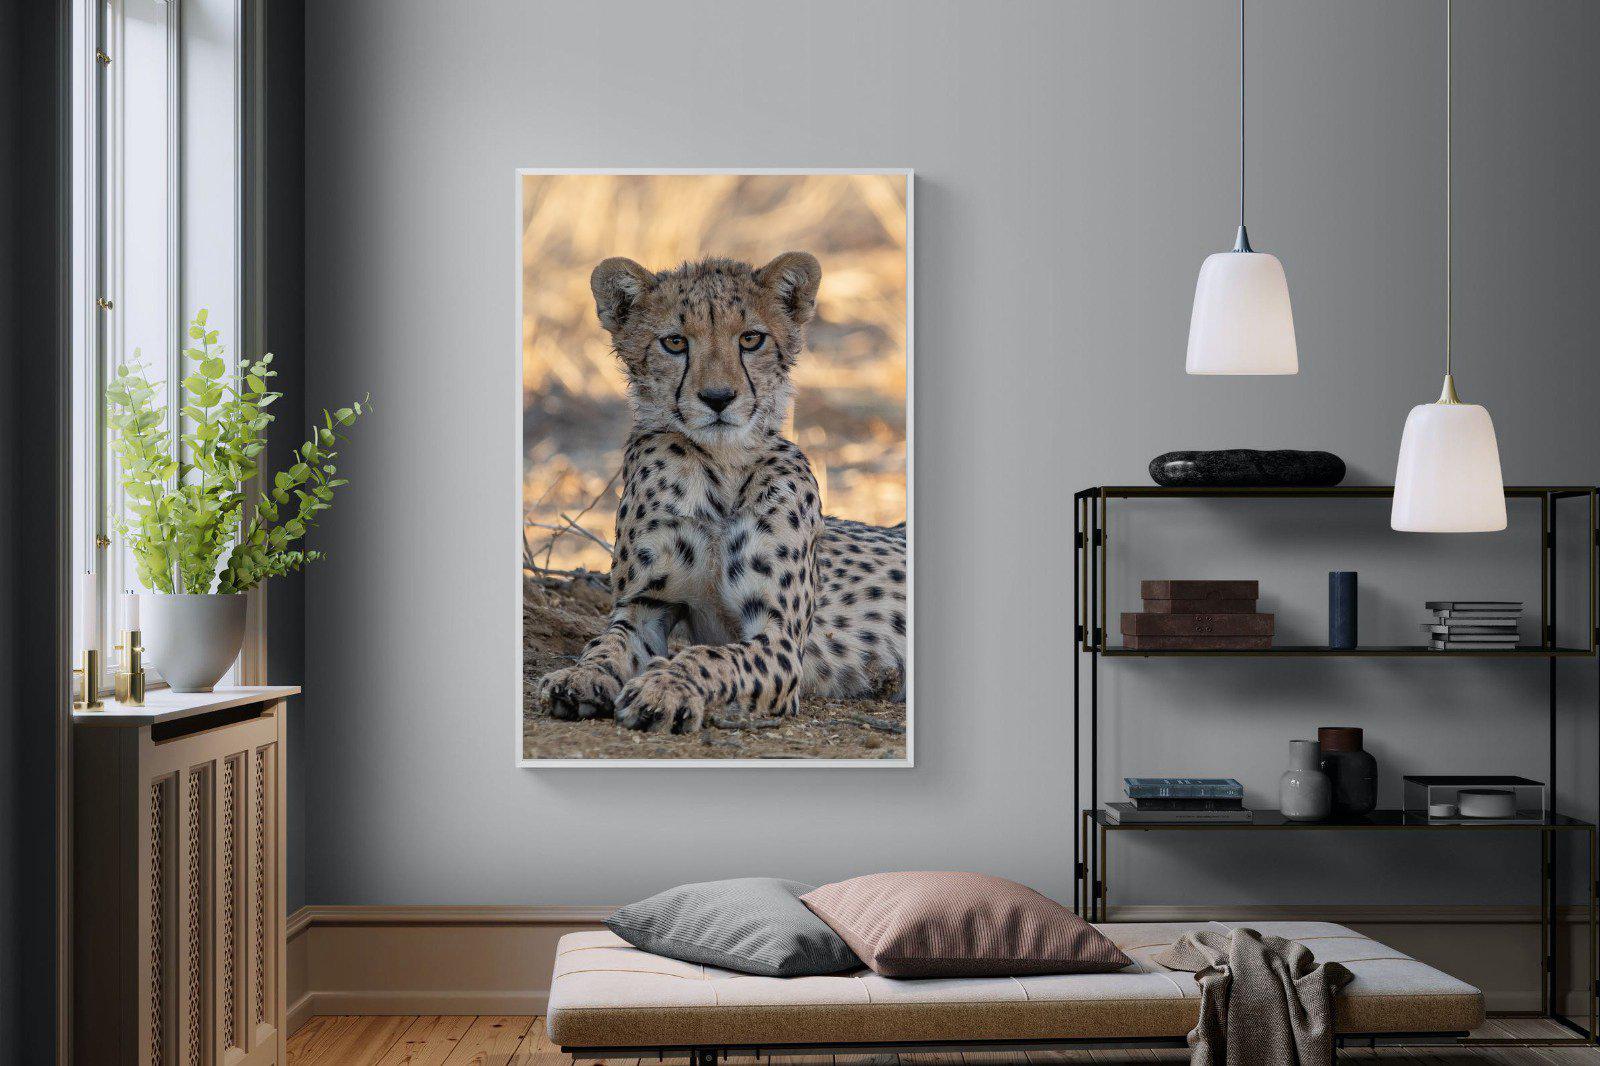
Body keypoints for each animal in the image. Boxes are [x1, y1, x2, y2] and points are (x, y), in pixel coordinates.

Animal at [535, 251, 907, 734]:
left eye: (751, 338)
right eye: (675, 343)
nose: (717, 397)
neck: (722, 468)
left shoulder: (779, 639)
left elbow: (711, 656)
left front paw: (665, 688)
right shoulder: (645, 606)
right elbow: (606, 643)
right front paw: (580, 676)